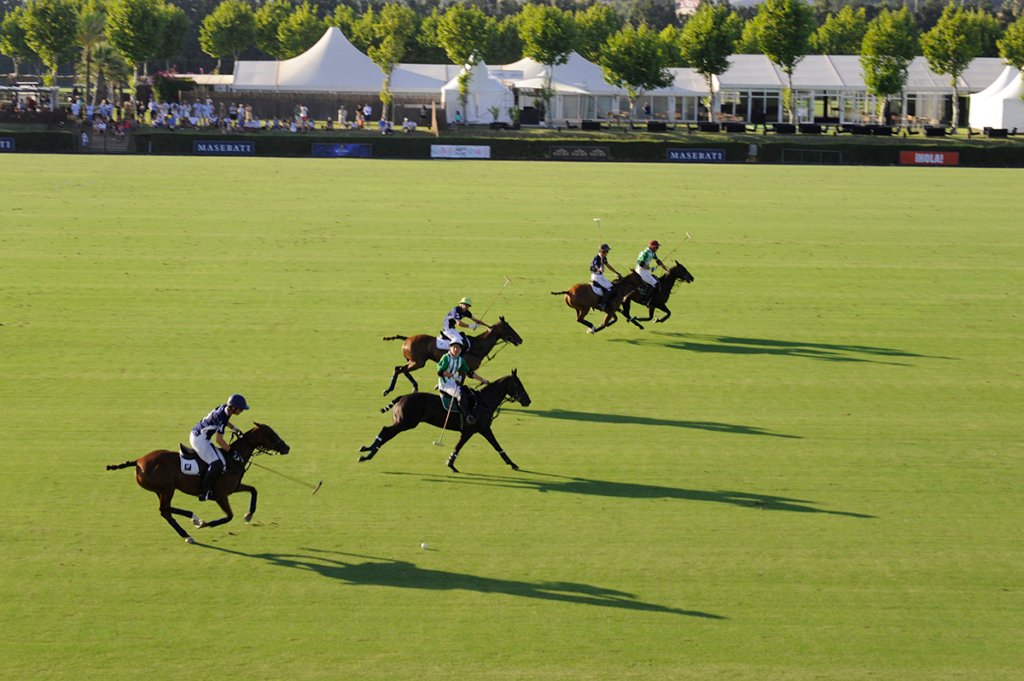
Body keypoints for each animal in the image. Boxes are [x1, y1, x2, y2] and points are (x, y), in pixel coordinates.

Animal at [106, 421, 290, 544]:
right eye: (271, 434)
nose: (287, 448)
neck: (233, 459)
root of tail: (138, 461)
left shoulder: (234, 487)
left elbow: (253, 490)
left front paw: (249, 515)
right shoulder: (221, 494)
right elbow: (228, 516)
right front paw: (207, 524)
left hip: (163, 490)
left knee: (166, 510)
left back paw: (192, 522)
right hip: (167, 489)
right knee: (164, 510)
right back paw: (190, 530)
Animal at [360, 372, 532, 473]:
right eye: (519, 384)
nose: (528, 401)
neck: (484, 402)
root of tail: (402, 396)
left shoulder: (481, 430)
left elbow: (495, 446)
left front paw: (512, 463)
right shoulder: (474, 430)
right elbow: (472, 446)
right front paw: (451, 464)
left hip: (403, 423)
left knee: (386, 432)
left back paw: (367, 452)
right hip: (405, 423)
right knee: (386, 431)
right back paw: (367, 453)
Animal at [382, 315, 524, 395]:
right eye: (508, 328)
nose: (520, 340)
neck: (478, 345)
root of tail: (406, 339)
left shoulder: (467, 370)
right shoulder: (463, 370)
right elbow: (459, 384)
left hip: (414, 361)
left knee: (401, 369)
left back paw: (414, 388)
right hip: (418, 362)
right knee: (399, 369)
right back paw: (389, 390)